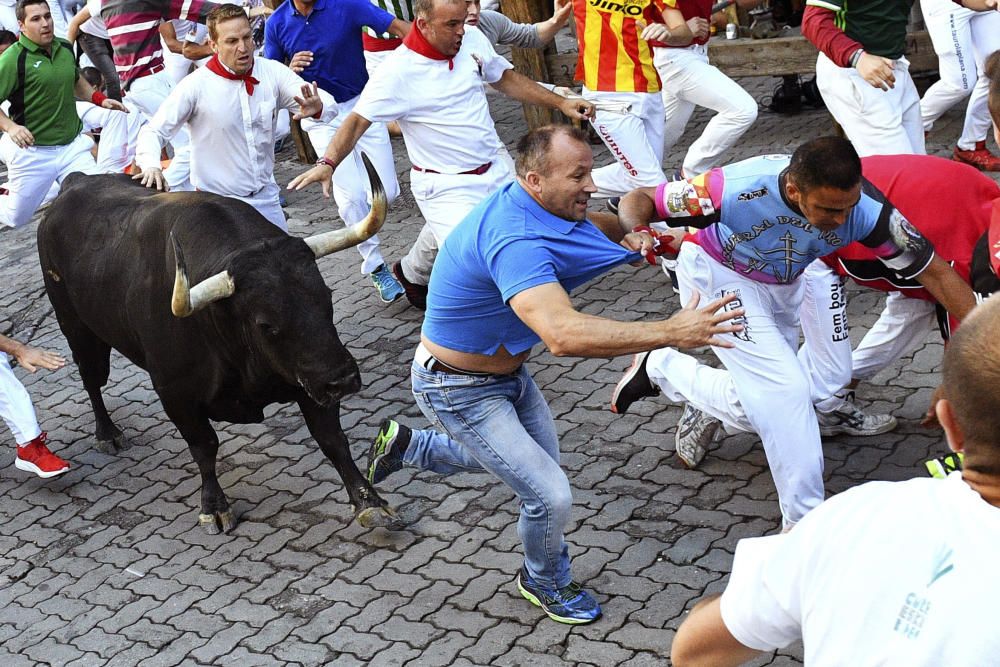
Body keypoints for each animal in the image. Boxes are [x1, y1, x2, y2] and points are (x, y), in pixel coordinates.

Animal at [39, 159, 398, 536]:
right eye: (265, 325)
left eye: (326, 297)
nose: (343, 380)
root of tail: (75, 183)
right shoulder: (175, 394)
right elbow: (204, 447)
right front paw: (213, 507)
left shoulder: (307, 376)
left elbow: (332, 439)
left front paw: (369, 501)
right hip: (77, 329)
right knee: (92, 381)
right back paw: (107, 433)